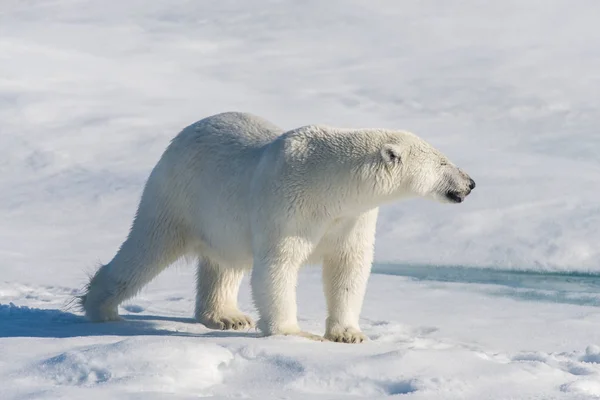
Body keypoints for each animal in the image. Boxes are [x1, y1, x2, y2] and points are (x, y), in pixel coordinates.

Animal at [78, 111, 474, 344]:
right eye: (443, 162)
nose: (470, 183)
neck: (331, 185)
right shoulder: (288, 206)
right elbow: (277, 267)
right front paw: (293, 333)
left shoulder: (352, 220)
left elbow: (349, 268)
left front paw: (348, 334)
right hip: (178, 196)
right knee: (146, 248)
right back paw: (101, 307)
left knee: (224, 264)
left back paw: (227, 316)